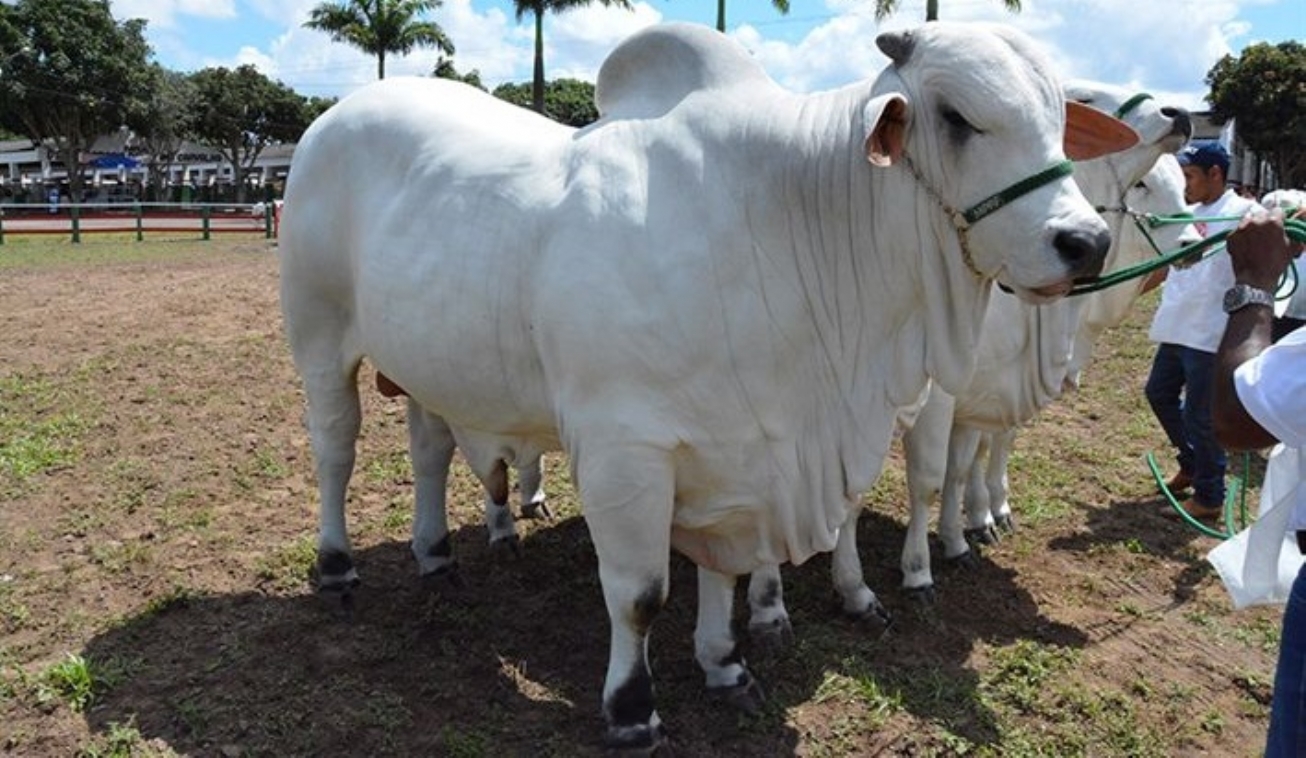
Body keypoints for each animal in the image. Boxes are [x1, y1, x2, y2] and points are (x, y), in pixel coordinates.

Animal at [283, 20, 1123, 747]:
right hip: (320, 337)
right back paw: (337, 565)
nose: (1086, 242)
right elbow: (640, 593)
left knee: (428, 451)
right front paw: (631, 710)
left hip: (429, 365)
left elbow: (726, 567)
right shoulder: (623, 449)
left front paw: (725, 663)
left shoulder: (743, 450)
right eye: (956, 115)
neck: (787, 220)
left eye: (1057, 119)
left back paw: (434, 554)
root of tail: (335, 117)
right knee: (335, 450)